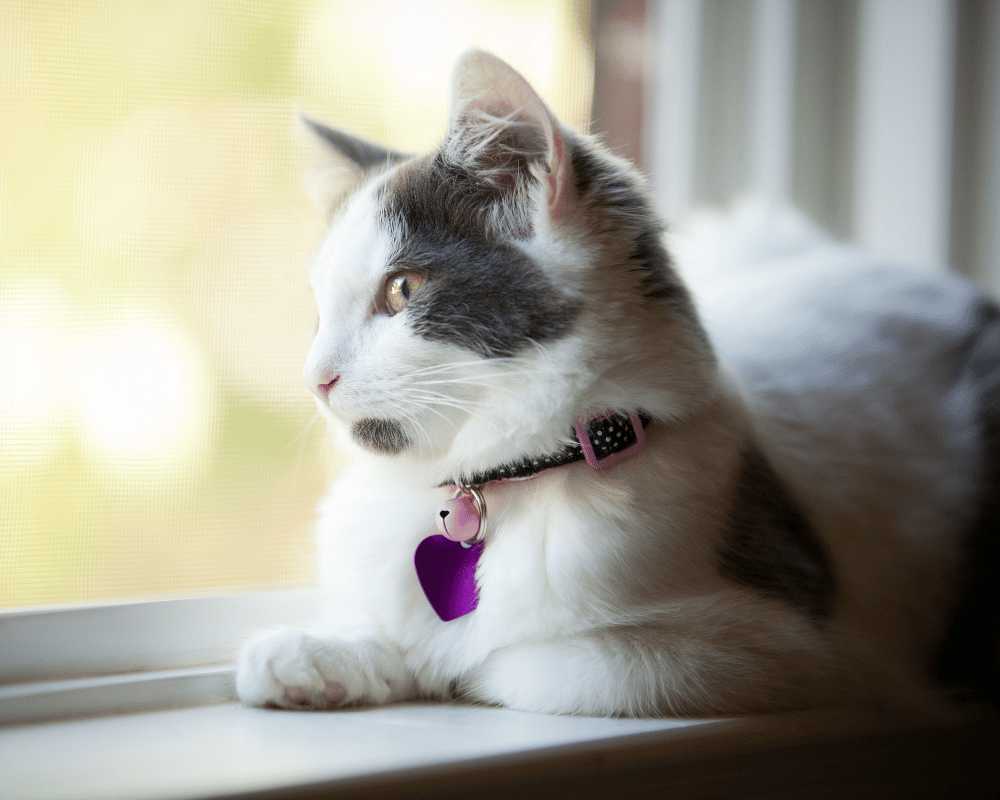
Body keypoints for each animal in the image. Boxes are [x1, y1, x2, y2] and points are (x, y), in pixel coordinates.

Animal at [236, 47, 1000, 716]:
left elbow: (530, 664)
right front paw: (326, 650)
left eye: (401, 290)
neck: (506, 478)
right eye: (319, 312)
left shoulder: (794, 652)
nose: (315, 379)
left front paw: (443, 664)